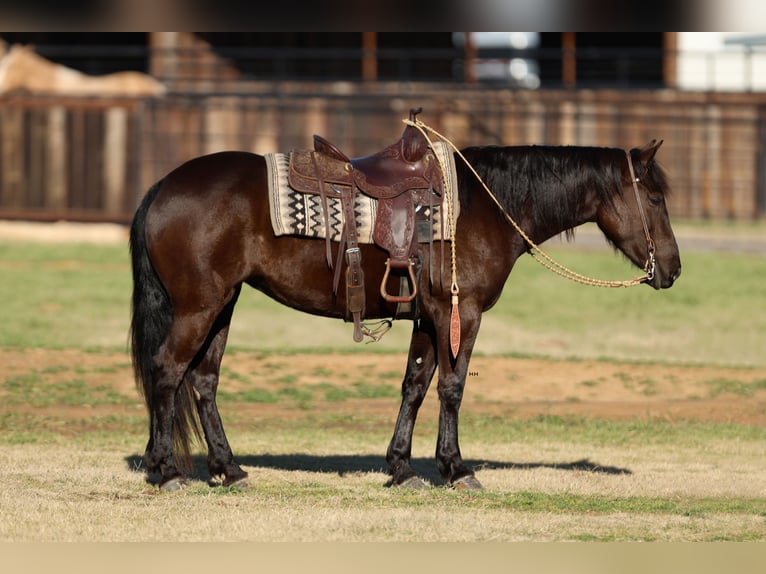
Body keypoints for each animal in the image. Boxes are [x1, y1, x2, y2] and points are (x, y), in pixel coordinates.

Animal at [130, 138, 684, 490]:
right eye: (656, 197)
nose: (674, 268)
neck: (484, 205)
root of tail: (161, 186)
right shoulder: (460, 313)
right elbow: (452, 388)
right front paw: (456, 469)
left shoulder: (427, 317)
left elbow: (415, 386)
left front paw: (401, 467)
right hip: (199, 307)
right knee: (167, 372)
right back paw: (166, 471)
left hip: (222, 307)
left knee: (202, 382)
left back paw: (229, 469)